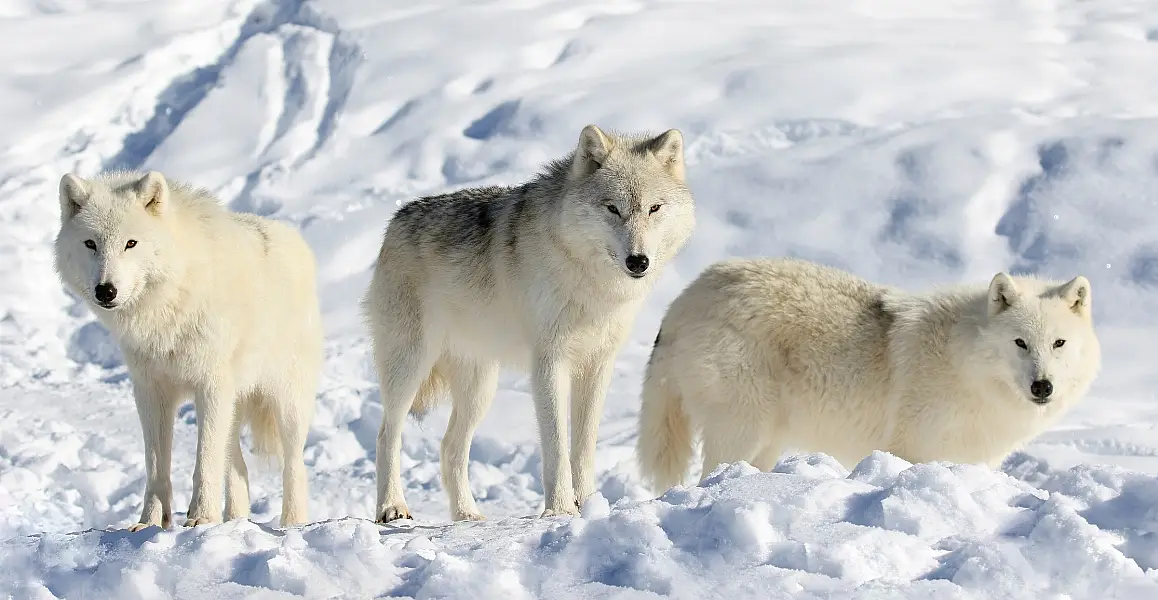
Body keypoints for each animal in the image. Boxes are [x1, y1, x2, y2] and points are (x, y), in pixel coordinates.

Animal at [53, 170, 321, 532]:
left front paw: (201, 519)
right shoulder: (151, 391)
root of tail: (294, 238)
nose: (105, 290)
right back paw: (235, 520)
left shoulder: (210, 385)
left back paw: (291, 525)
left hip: (286, 402)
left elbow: (204, 461)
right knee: (237, 467)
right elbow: (156, 466)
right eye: (90, 244)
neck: (168, 304)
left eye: (131, 243)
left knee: (294, 466)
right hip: (234, 405)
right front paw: (150, 523)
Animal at [361, 125, 694, 521]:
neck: (590, 284)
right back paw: (392, 508)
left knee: (449, 448)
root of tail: (395, 220)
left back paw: (467, 515)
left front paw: (590, 504)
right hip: (411, 367)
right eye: (612, 208)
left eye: (654, 208)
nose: (638, 261)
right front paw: (561, 510)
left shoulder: (598, 364)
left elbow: (584, 446)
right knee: (386, 435)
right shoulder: (549, 363)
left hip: (480, 389)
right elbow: (557, 446)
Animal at [639, 258, 1097, 493]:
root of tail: (683, 299)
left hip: (767, 442)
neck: (963, 364)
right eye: (1020, 342)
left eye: (1058, 344)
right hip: (742, 430)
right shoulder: (911, 450)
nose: (1042, 386)